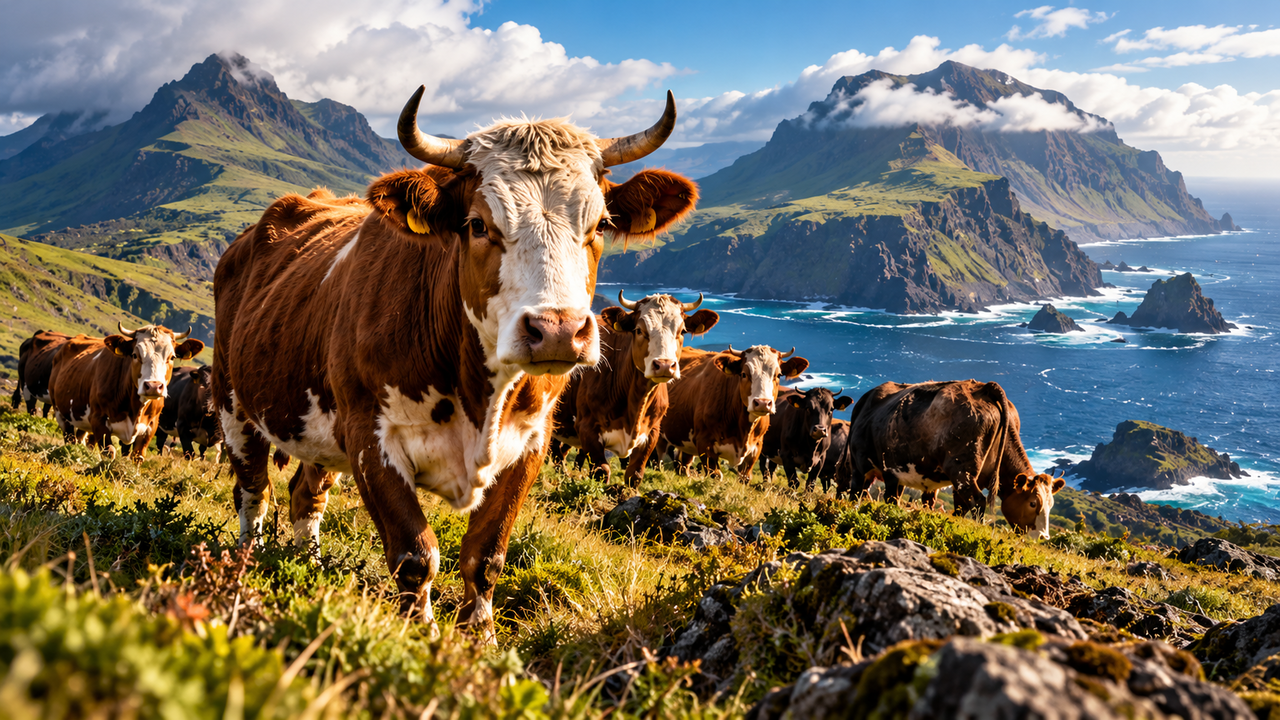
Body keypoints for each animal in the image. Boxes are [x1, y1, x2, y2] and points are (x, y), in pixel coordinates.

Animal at [49, 324, 204, 458]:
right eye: (135, 355)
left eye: (172, 357)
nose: (153, 386)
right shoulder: (98, 419)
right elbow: (110, 451)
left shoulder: (151, 426)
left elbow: (137, 456)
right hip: (60, 412)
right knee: (70, 438)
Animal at [211, 86, 695, 635]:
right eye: (478, 224)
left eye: (599, 225)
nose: (557, 331)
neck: (480, 395)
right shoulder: (369, 437)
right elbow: (415, 555)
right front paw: (422, 636)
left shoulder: (532, 443)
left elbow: (486, 554)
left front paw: (478, 635)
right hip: (233, 401)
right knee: (253, 493)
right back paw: (247, 564)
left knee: (304, 495)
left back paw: (308, 568)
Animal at [550, 291, 719, 486]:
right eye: (639, 330)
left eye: (682, 331)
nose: (664, 365)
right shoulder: (586, 427)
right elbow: (602, 471)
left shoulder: (652, 432)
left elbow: (635, 474)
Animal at [660, 345, 809, 479]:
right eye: (744, 374)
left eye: (778, 375)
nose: (763, 403)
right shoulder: (704, 443)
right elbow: (716, 475)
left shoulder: (756, 449)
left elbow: (745, 477)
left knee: (684, 464)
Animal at [843, 379, 1065, 538]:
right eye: (1033, 503)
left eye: (1051, 504)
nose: (1044, 536)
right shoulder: (962, 475)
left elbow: (958, 507)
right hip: (863, 465)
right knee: (856, 491)